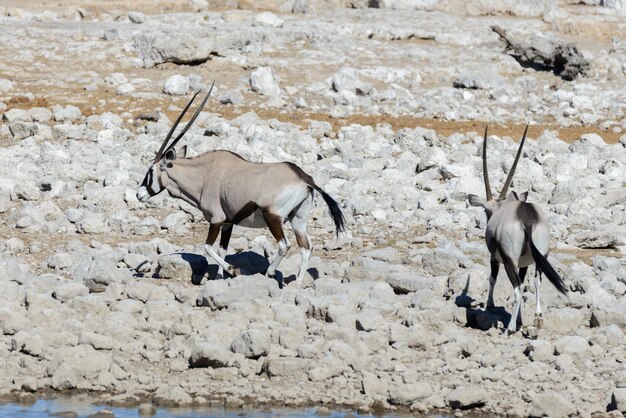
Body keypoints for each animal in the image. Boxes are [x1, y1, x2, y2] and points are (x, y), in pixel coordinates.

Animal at [135, 88, 346, 284]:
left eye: (150, 171)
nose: (138, 195)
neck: (204, 175)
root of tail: (303, 178)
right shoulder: (227, 223)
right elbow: (222, 249)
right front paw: (219, 278)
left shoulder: (216, 219)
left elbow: (208, 248)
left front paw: (231, 269)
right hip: (298, 219)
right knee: (306, 247)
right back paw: (298, 283)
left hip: (273, 217)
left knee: (284, 245)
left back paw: (270, 272)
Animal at [468, 125, 564, 334]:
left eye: (486, 211)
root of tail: (526, 217)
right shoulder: (525, 263)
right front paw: (520, 318)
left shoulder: (494, 258)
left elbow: (492, 278)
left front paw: (490, 305)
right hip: (541, 257)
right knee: (536, 281)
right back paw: (537, 319)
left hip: (509, 260)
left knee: (518, 287)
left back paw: (510, 328)